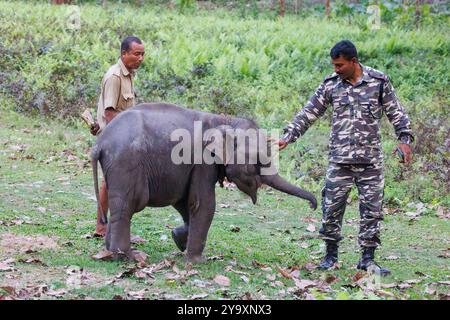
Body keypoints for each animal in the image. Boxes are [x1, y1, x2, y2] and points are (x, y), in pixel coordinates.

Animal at [91, 104, 316, 264]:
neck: (225, 120)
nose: (313, 205)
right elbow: (203, 203)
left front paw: (178, 240)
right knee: (128, 206)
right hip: (126, 162)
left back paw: (108, 252)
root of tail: (99, 144)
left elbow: (184, 202)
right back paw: (128, 257)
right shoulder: (203, 160)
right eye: (259, 162)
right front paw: (198, 261)